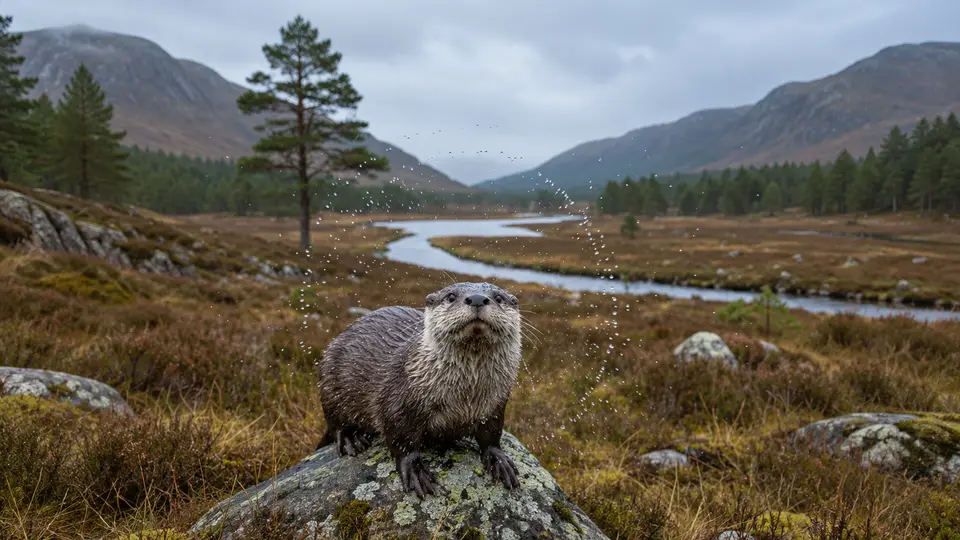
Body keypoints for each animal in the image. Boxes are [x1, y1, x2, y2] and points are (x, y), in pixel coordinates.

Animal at [316, 282, 523, 498]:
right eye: (451, 296)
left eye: (498, 298)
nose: (476, 298)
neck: (465, 396)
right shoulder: (398, 402)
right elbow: (402, 441)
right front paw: (415, 471)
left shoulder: (495, 404)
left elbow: (491, 435)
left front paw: (499, 460)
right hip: (330, 379)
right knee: (334, 421)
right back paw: (351, 439)